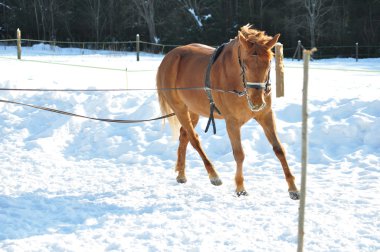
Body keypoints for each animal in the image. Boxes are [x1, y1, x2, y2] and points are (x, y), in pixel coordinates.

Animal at [156, 25, 298, 199]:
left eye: (269, 63)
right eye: (245, 65)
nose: (257, 102)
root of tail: (169, 58)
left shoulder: (265, 116)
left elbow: (279, 150)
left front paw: (293, 189)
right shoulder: (232, 123)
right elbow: (239, 154)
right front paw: (240, 187)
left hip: (193, 111)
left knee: (184, 136)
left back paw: (181, 174)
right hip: (180, 109)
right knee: (194, 139)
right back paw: (213, 175)